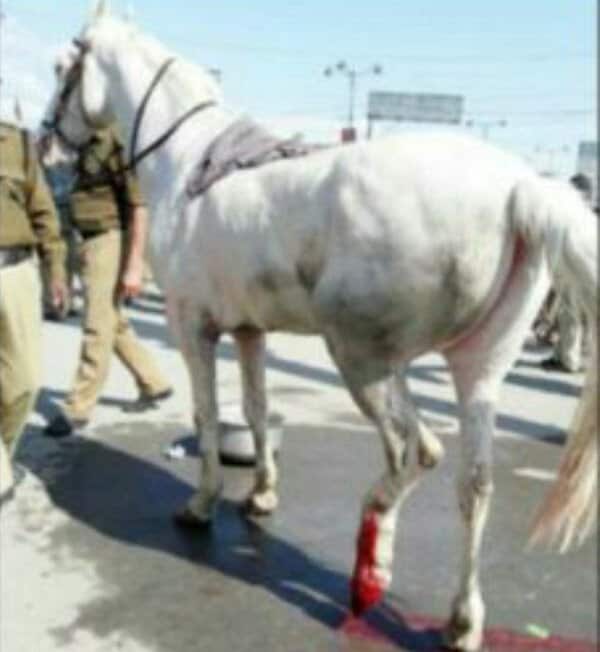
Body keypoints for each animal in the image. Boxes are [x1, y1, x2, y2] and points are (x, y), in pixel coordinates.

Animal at [40, 3, 597, 650]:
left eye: (63, 67)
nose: (48, 141)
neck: (187, 161)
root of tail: (517, 189)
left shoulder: (191, 325)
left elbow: (206, 415)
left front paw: (202, 504)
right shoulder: (249, 329)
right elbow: (255, 412)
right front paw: (261, 493)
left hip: (363, 360)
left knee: (415, 452)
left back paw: (372, 563)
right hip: (478, 370)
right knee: (474, 483)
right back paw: (462, 620)